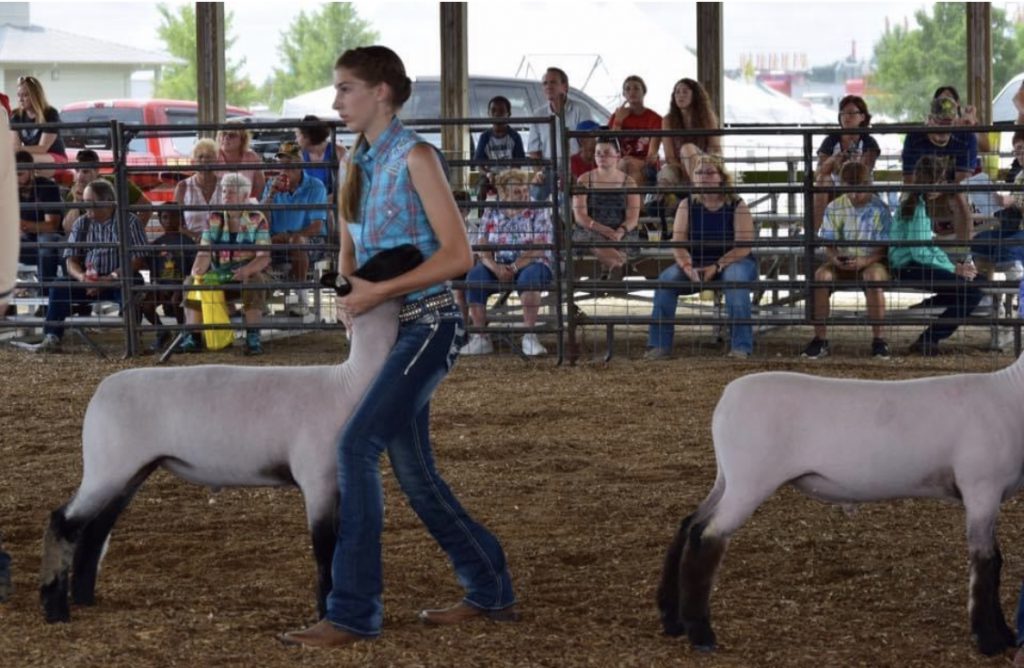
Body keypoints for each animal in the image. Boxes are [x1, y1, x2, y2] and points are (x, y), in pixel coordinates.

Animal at [38, 297, 399, 622]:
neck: (347, 384)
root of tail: (100, 392)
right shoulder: (316, 478)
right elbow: (325, 548)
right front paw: (326, 611)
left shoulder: (335, 480)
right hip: (107, 467)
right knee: (63, 522)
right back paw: (56, 610)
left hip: (130, 471)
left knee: (95, 529)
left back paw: (84, 598)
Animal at [655, 356, 1024, 655]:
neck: (1009, 393)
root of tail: (727, 397)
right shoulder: (981, 488)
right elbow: (986, 563)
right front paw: (989, 641)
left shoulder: (988, 496)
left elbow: (996, 561)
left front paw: (1005, 635)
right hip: (749, 481)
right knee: (706, 536)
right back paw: (701, 634)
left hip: (728, 478)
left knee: (689, 524)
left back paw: (672, 619)